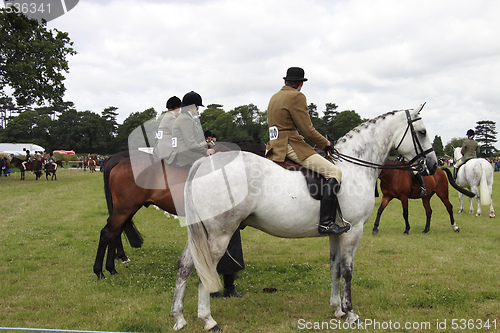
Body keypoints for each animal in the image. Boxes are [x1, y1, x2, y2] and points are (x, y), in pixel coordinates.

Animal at [172, 105, 438, 330]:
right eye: (423, 132)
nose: (433, 165)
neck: (354, 168)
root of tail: (204, 162)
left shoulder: (337, 232)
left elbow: (334, 267)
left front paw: (337, 309)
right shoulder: (354, 231)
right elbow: (347, 271)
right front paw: (351, 313)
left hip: (204, 232)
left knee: (185, 265)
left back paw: (179, 317)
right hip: (220, 233)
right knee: (204, 269)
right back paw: (208, 320)